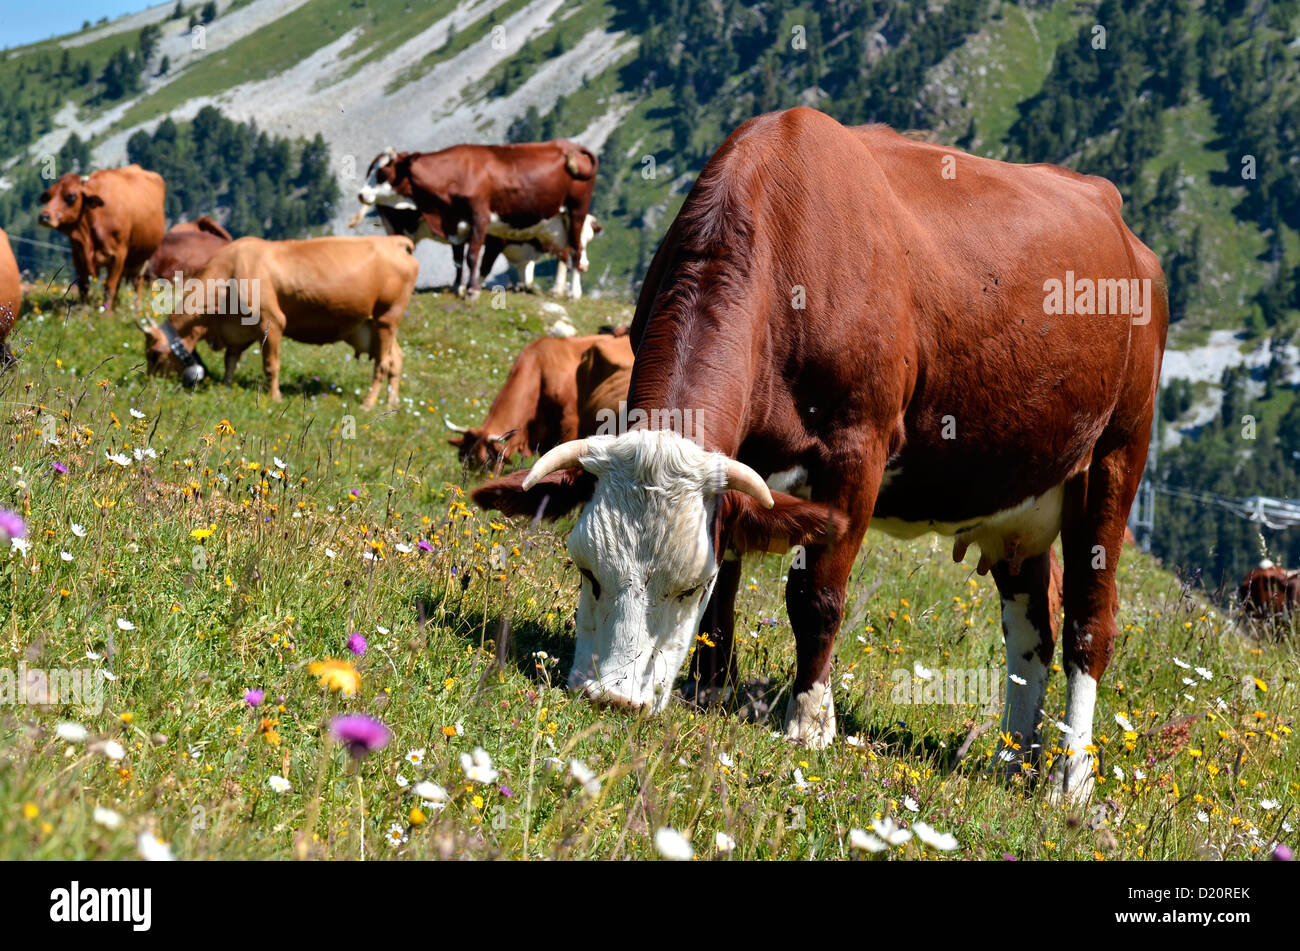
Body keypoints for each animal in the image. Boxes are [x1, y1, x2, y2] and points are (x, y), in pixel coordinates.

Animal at [38, 164, 165, 310]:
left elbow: (109, 287)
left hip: (143, 258)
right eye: (49, 195)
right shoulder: (78, 255)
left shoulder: (118, 255)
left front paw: (106, 314)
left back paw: (136, 308)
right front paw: (83, 309)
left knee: (136, 282)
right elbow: (84, 286)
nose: (44, 216)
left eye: (71, 196)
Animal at [138, 235, 410, 407]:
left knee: (382, 364)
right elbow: (230, 360)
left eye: (154, 355)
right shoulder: (237, 330)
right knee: (396, 358)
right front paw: (226, 387)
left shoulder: (271, 321)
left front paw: (275, 397)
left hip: (387, 318)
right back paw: (392, 403)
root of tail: (394, 241)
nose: (150, 384)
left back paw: (368, 403)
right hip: (369, 326)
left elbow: (271, 365)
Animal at [356, 139, 598, 297]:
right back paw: (558, 290)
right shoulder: (455, 223)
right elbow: (458, 259)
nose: (361, 194)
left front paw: (471, 289)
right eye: (371, 171)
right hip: (558, 220)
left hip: (577, 210)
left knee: (575, 250)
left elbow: (474, 257)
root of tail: (571, 145)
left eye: (382, 173)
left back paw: (574, 293)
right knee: (564, 250)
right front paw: (458, 287)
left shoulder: (480, 217)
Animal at [475, 105, 1170, 800]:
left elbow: (815, 596)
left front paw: (809, 720)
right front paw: (711, 687)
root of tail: (1119, 222)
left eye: (685, 585)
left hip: (1116, 457)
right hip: (1019, 498)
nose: (611, 699)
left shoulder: (857, 448)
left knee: (1089, 619)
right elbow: (731, 578)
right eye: (586, 569)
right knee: (1032, 629)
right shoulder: (743, 468)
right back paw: (1010, 758)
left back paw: (1069, 775)